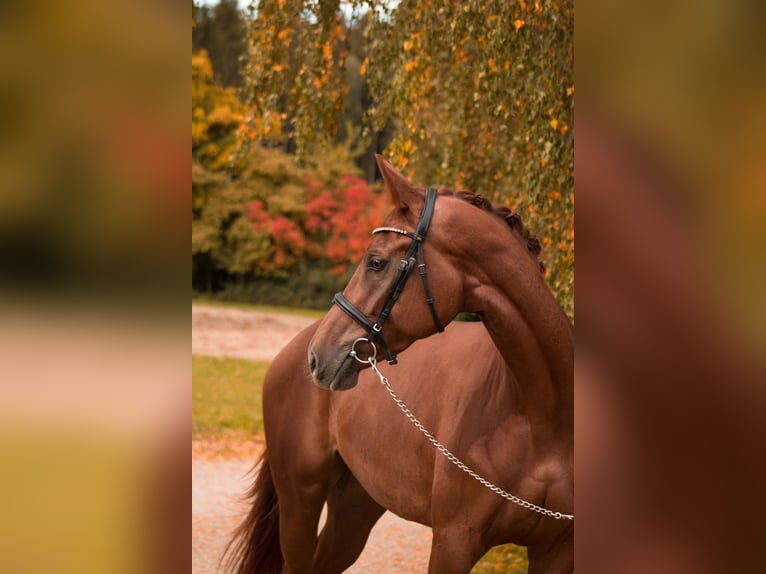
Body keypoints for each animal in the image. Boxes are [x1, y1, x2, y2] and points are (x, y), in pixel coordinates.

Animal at [225, 154, 572, 574]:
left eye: (376, 262)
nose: (318, 355)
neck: (541, 415)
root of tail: (288, 354)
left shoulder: (556, 550)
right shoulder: (453, 542)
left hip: (356, 507)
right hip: (299, 505)